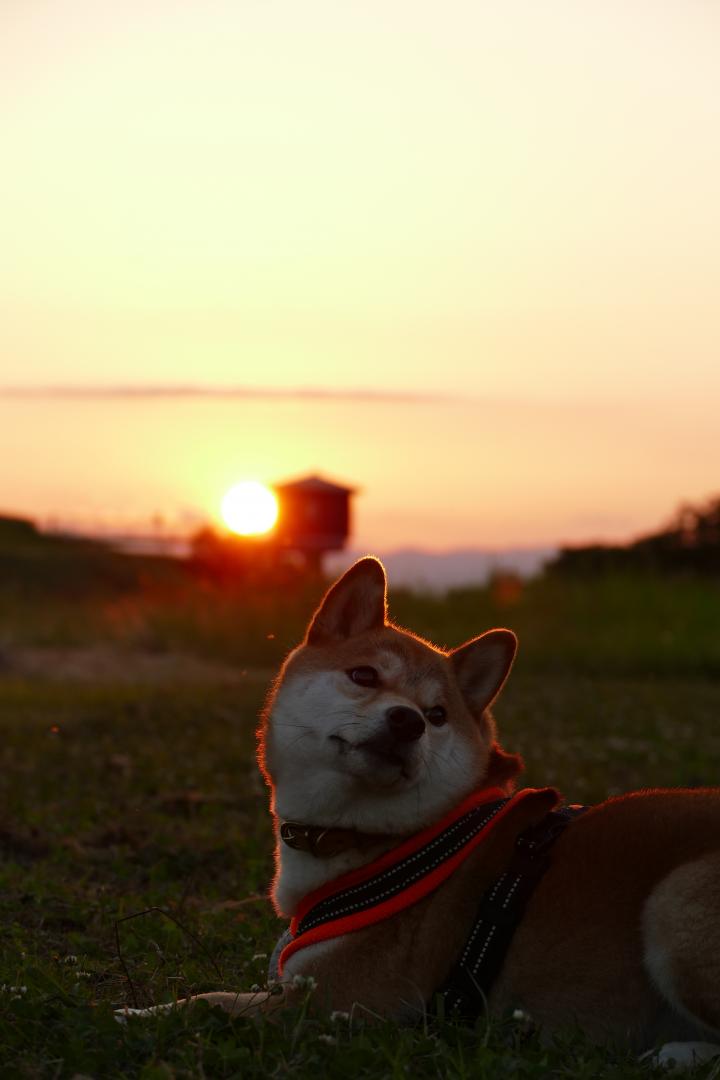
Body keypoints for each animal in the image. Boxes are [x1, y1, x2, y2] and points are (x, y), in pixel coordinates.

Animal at [124, 561, 720, 1067]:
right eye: (364, 676)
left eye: (436, 716)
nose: (407, 721)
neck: (377, 840)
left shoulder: (334, 1003)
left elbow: (207, 1001)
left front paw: (136, 1013)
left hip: (675, 900)